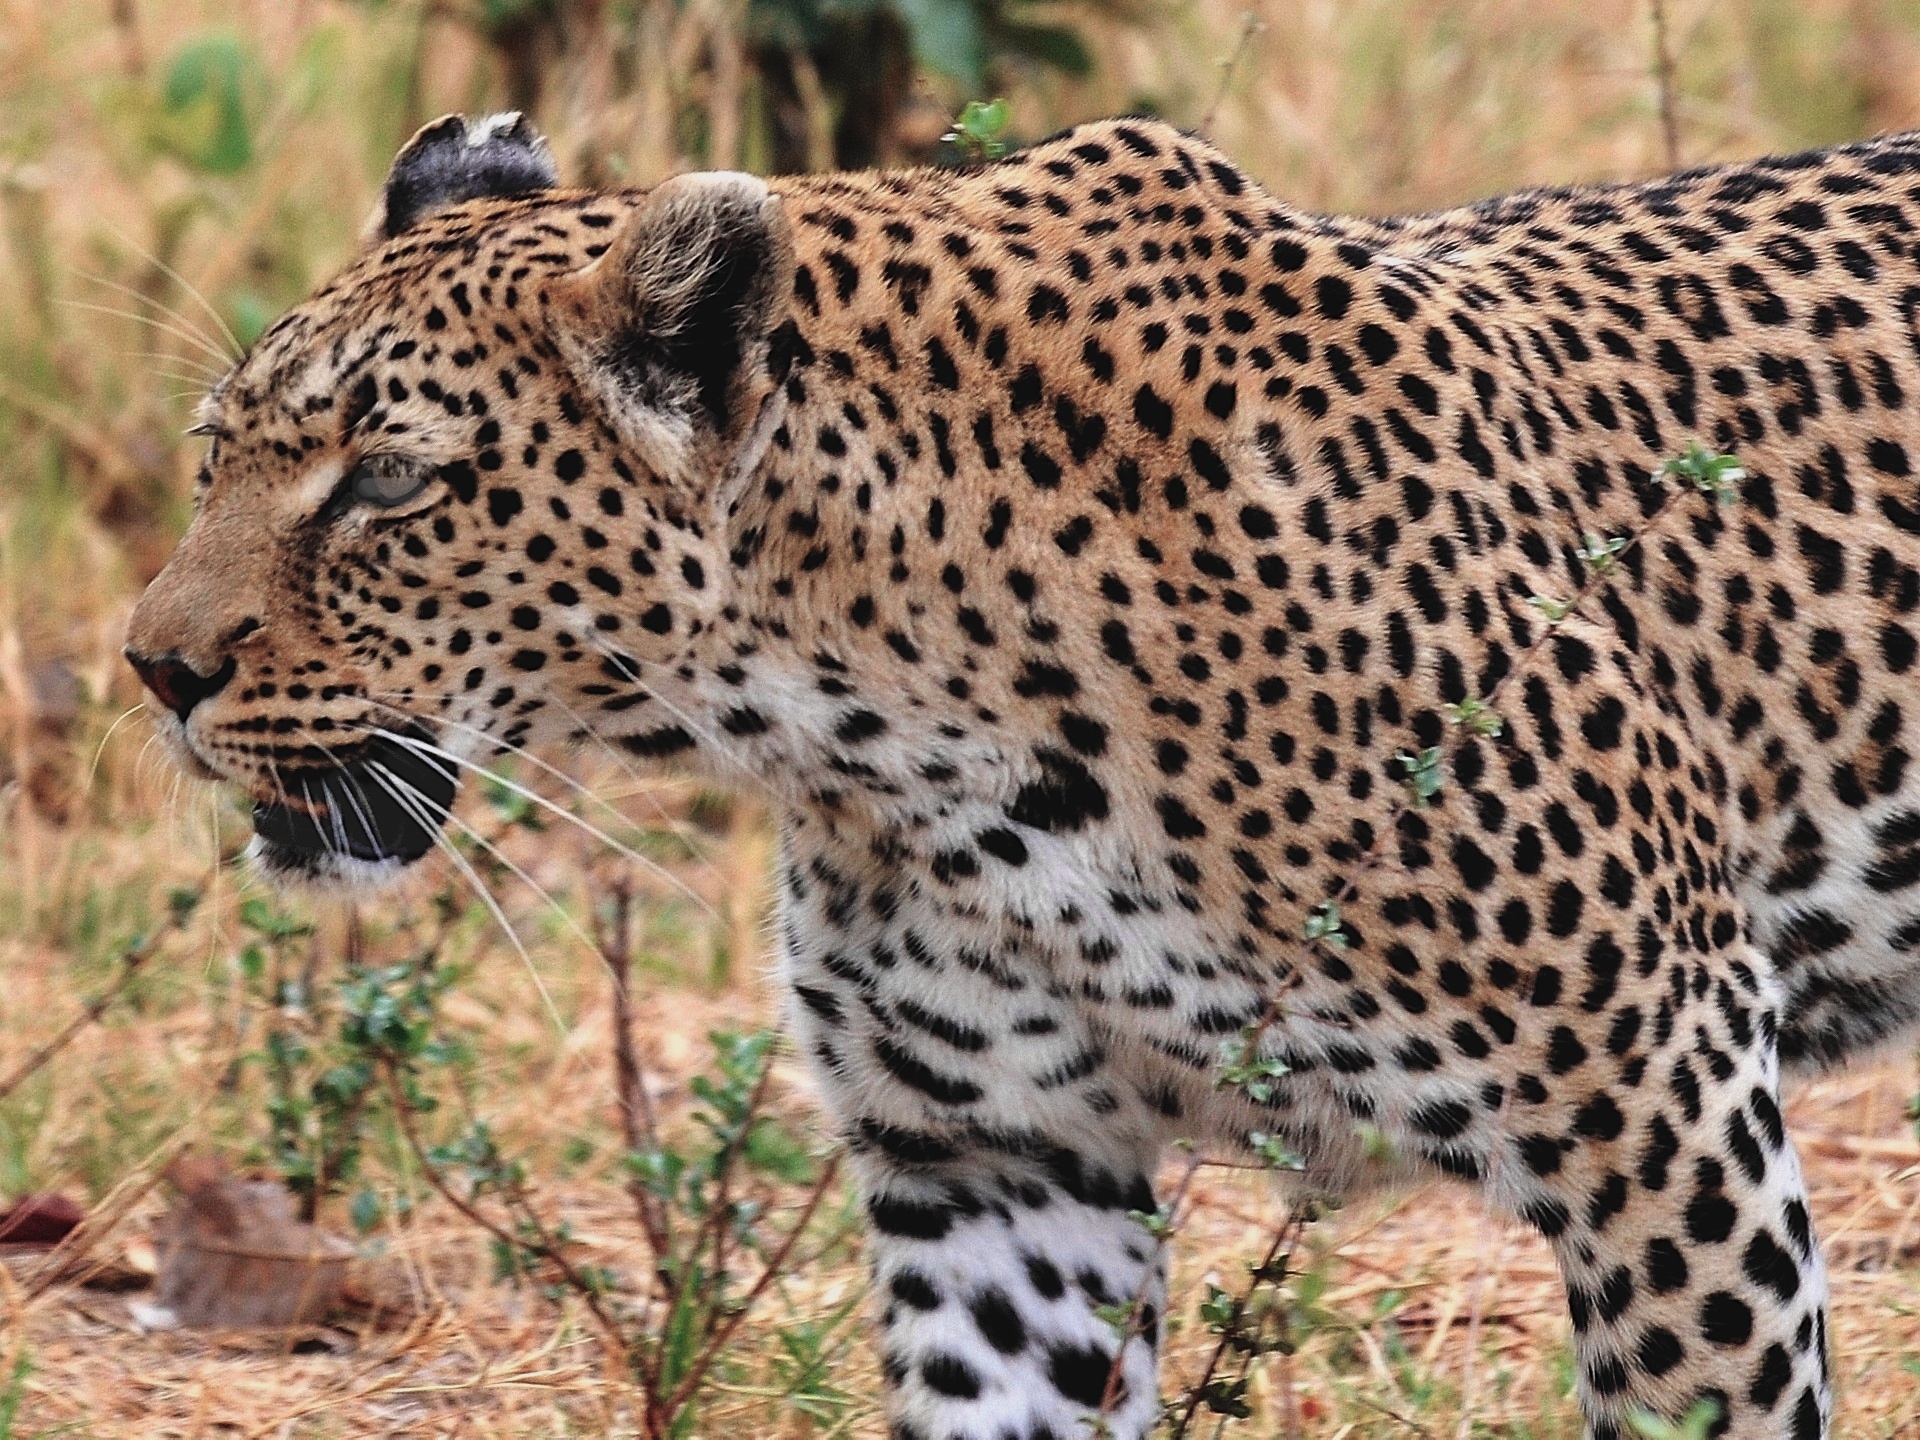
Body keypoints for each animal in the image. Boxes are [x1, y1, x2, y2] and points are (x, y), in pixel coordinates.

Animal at [122, 106, 1920, 1438]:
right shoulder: (996, 1172)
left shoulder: (1655, 1112)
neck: (900, 743)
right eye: (216, 456)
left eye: (387, 485)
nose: (155, 669)